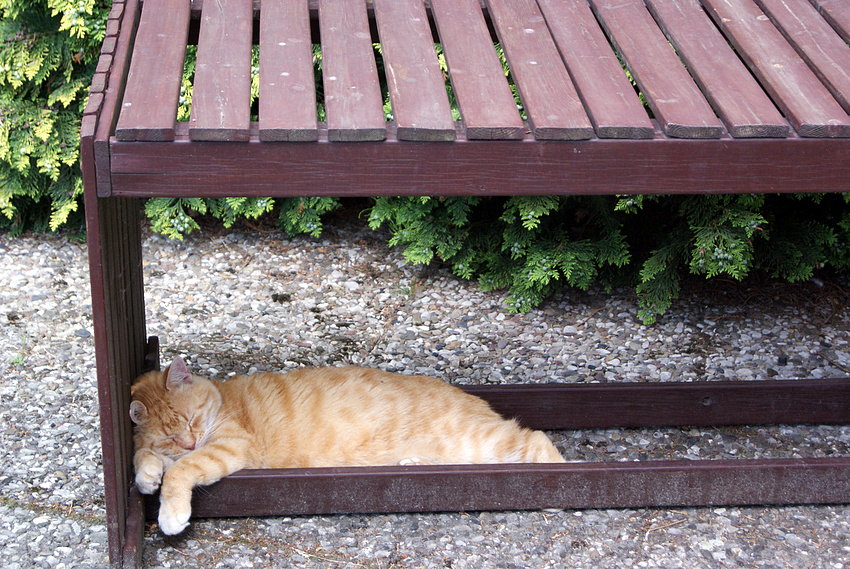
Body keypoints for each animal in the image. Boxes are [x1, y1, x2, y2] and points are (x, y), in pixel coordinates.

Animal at [131, 358, 564, 536]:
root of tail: (473, 399)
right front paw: (147, 473)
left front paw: (171, 513)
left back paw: (556, 489)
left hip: (480, 442)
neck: (222, 402)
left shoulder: (230, 447)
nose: (189, 440)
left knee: (535, 439)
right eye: (172, 434)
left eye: (192, 421)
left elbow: (183, 469)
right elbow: (145, 454)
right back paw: (411, 463)